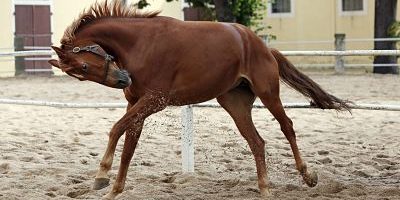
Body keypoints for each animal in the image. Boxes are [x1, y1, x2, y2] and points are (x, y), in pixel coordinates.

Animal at [48, 1, 350, 198]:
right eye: (79, 75)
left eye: (84, 67)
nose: (124, 80)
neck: (140, 43)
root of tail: (261, 45)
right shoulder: (136, 104)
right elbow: (128, 146)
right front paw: (113, 190)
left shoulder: (154, 100)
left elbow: (115, 130)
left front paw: (101, 177)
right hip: (235, 103)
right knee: (257, 142)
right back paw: (264, 189)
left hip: (268, 94)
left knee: (287, 127)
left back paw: (308, 176)